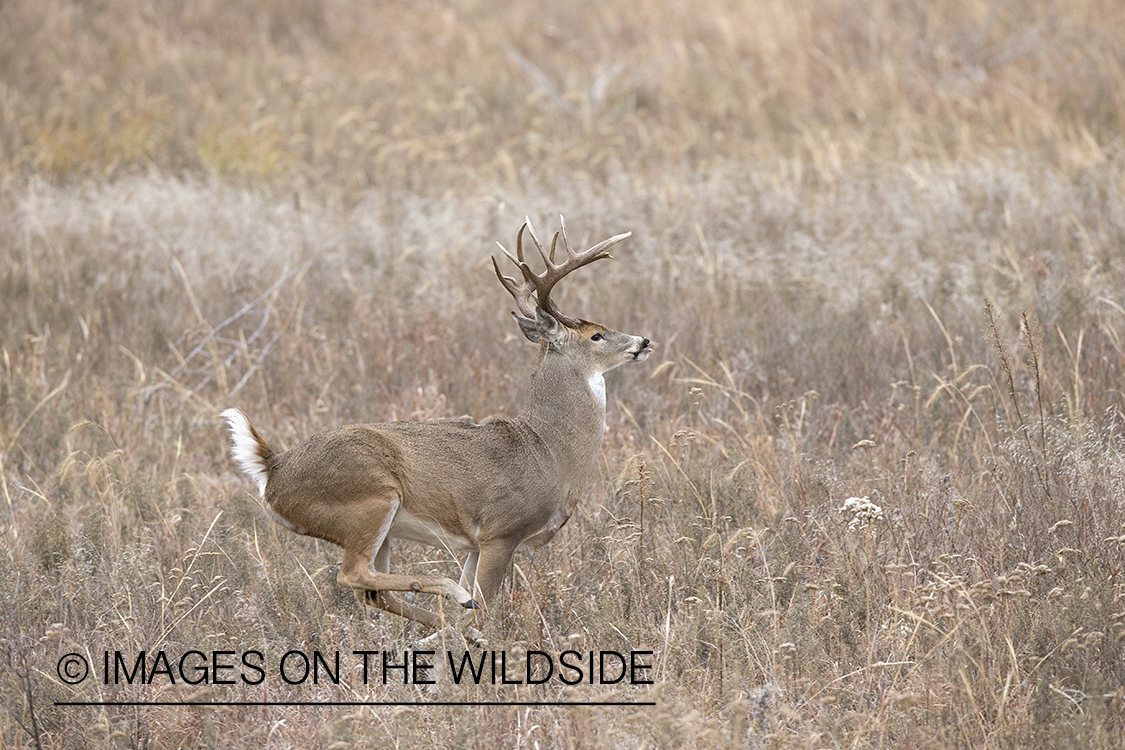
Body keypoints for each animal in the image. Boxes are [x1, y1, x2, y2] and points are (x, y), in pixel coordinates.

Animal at [219, 220, 652, 638]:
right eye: (596, 334)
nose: (644, 340)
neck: (548, 450)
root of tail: (274, 468)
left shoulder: (474, 543)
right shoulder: (501, 530)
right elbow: (486, 604)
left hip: (379, 528)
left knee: (372, 590)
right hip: (370, 501)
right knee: (353, 575)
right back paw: (451, 595)